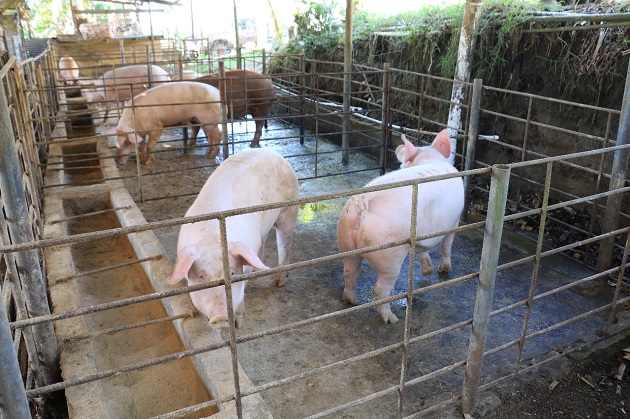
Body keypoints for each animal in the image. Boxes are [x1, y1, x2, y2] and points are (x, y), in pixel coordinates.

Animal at [169, 149, 300, 330]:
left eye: (232, 273)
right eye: (201, 276)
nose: (220, 316)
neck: (213, 237)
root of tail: (273, 153)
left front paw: (238, 323)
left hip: (289, 210)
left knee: (284, 246)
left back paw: (279, 282)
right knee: (263, 243)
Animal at [338, 130, 466, 324]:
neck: (429, 157)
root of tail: (362, 207)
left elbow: (422, 250)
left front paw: (428, 271)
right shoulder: (455, 222)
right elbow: (447, 246)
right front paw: (444, 270)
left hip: (346, 242)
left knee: (349, 273)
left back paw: (351, 301)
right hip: (390, 254)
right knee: (380, 289)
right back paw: (391, 319)